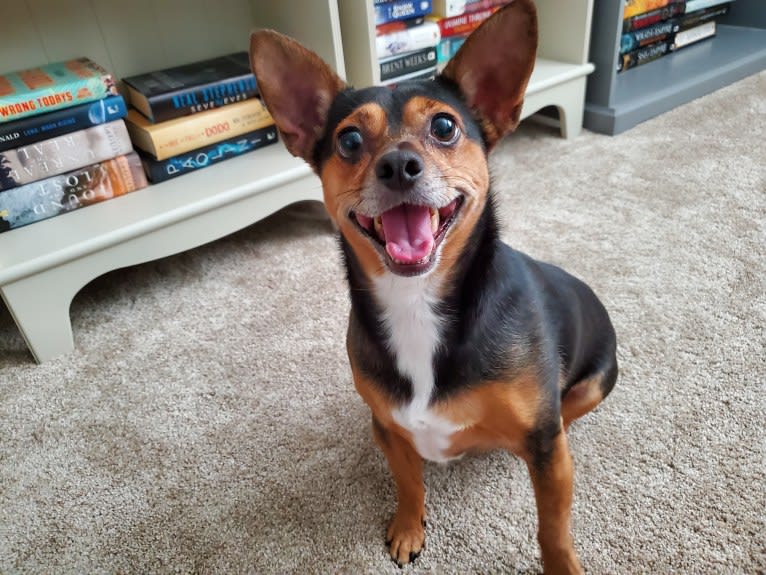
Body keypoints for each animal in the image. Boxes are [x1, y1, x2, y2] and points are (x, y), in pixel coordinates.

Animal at [249, 2, 620, 572]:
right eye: (349, 140)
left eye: (445, 126)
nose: (398, 165)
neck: (418, 303)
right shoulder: (388, 429)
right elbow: (409, 484)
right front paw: (408, 528)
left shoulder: (545, 445)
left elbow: (553, 527)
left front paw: (563, 566)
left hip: (594, 384)